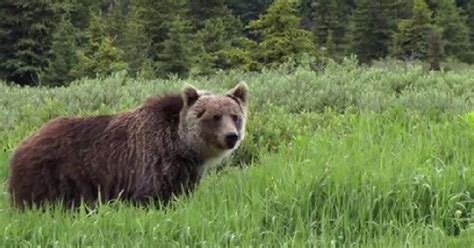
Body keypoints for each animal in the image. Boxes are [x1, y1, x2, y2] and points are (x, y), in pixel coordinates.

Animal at [6, 82, 248, 208]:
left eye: (235, 116)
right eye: (215, 116)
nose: (231, 136)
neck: (183, 146)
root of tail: (23, 143)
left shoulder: (186, 170)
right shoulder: (154, 160)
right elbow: (152, 196)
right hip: (52, 174)